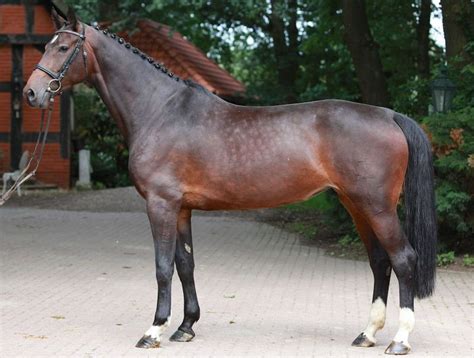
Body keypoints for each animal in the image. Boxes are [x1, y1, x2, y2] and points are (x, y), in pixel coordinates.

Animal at [23, 9, 436, 356]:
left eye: (63, 47)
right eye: (45, 45)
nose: (31, 93)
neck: (159, 110)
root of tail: (388, 114)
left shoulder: (160, 204)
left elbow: (162, 266)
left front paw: (154, 330)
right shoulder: (182, 209)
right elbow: (185, 264)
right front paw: (186, 326)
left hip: (377, 207)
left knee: (403, 258)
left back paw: (400, 339)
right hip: (356, 205)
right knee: (380, 262)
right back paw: (367, 333)